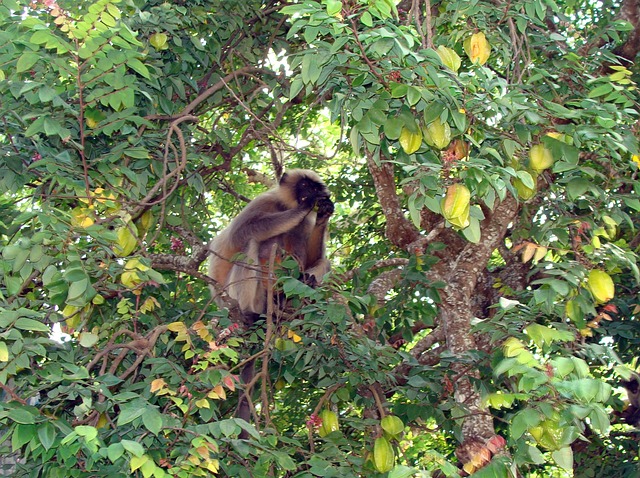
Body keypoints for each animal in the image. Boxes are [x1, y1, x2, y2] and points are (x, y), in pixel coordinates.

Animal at [209, 168, 336, 434]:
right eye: (304, 186)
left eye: (316, 187)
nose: (312, 194)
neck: (284, 205)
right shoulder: (263, 202)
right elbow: (242, 233)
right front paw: (306, 206)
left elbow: (313, 257)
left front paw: (323, 213)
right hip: (237, 295)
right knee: (252, 240)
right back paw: (249, 313)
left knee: (318, 260)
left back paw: (298, 292)